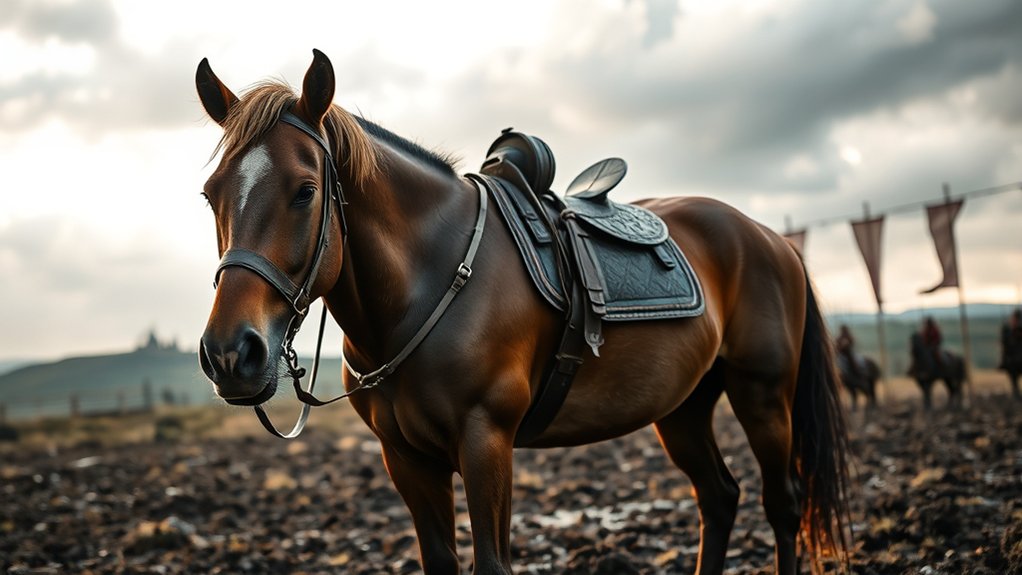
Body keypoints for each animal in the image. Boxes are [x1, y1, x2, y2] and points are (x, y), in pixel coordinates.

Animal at [193, 49, 850, 575]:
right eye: (211, 195)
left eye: (305, 191)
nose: (231, 354)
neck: (428, 282)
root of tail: (770, 239)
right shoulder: (406, 458)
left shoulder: (486, 440)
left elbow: (492, 563)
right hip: (684, 406)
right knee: (719, 498)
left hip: (763, 393)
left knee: (782, 503)